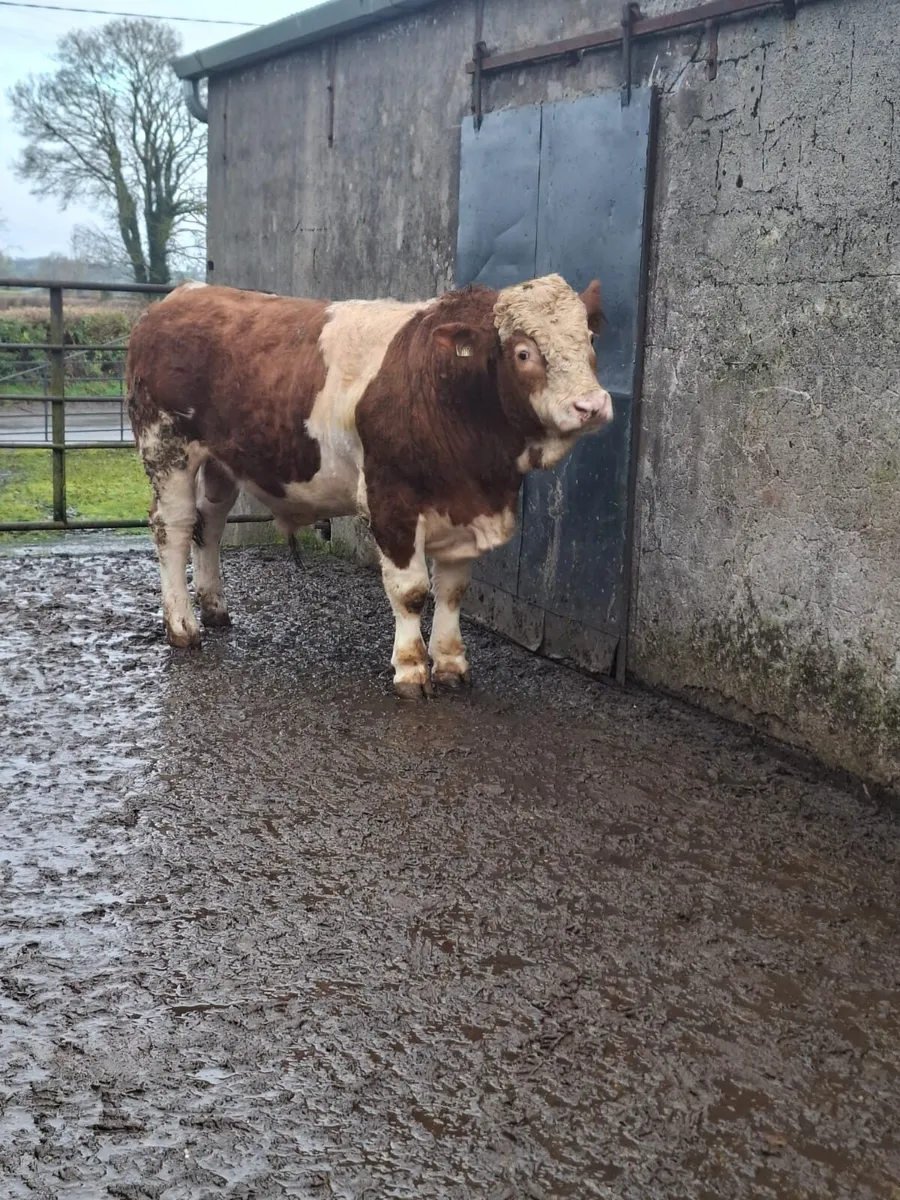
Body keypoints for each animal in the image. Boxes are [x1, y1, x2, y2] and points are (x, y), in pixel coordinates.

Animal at [125, 274, 612, 697]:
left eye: (590, 339)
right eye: (524, 352)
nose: (591, 405)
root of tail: (181, 295)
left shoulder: (463, 507)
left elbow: (453, 590)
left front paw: (451, 664)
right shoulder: (390, 499)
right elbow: (411, 591)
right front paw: (412, 669)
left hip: (220, 462)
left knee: (210, 524)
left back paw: (215, 609)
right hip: (166, 446)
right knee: (174, 529)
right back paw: (183, 626)